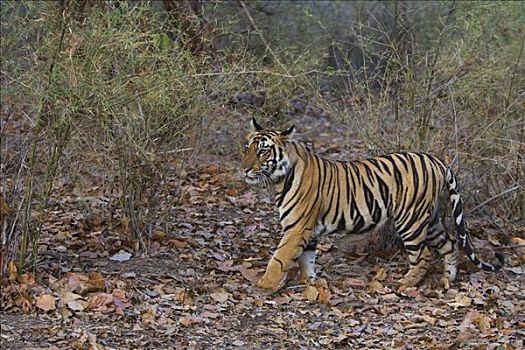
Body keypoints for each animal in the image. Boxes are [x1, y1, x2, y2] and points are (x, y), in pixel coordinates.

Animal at [242, 118, 504, 292]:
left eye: (263, 151)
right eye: (247, 148)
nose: (244, 169)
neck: (278, 179)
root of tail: (437, 160)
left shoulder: (297, 228)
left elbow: (279, 258)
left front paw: (265, 285)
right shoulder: (310, 230)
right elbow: (308, 260)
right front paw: (312, 283)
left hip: (410, 220)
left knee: (424, 256)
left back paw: (405, 283)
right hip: (430, 220)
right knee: (450, 244)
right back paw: (448, 279)